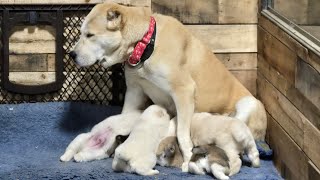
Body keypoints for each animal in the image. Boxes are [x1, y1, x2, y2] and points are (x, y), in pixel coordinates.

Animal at [70, 2, 268, 172]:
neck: (147, 44)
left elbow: (182, 133)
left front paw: (187, 157)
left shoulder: (184, 92)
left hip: (248, 103)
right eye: (81, 33)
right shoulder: (134, 91)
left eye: (90, 35)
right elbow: (124, 115)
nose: (72, 54)